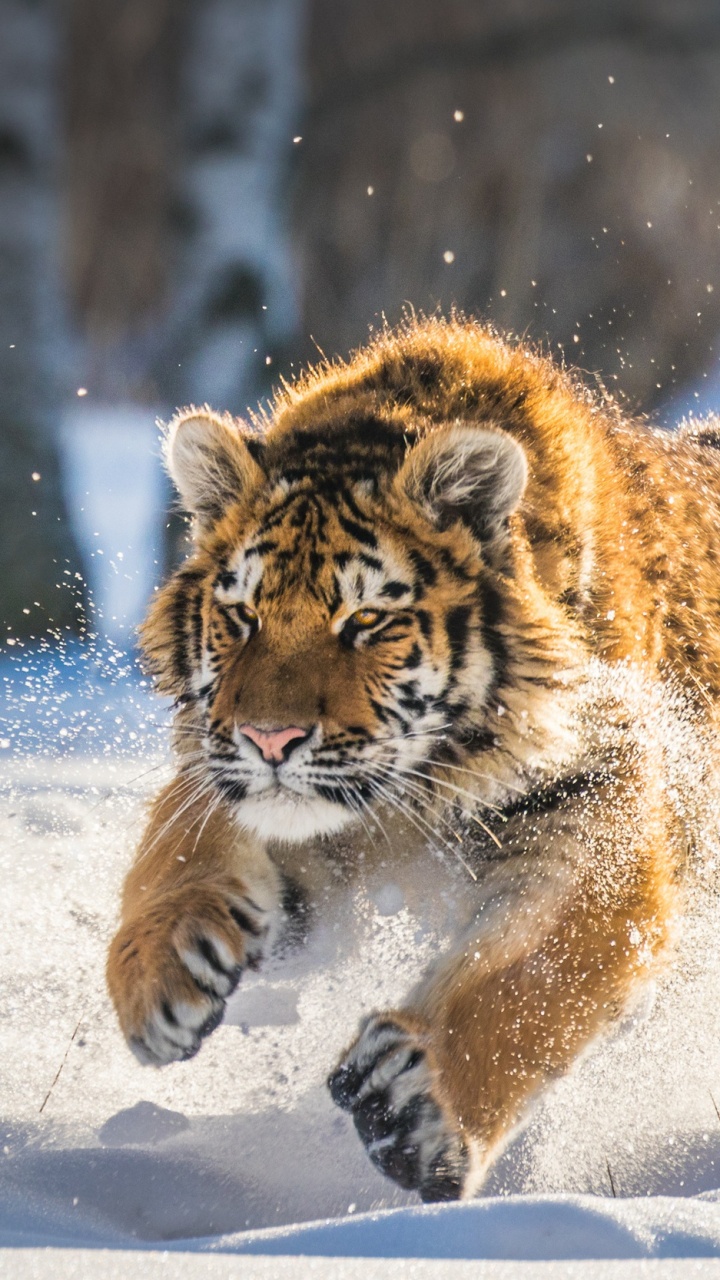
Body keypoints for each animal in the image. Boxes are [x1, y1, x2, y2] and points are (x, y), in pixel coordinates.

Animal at [106, 315, 720, 1202]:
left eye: (366, 621)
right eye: (242, 615)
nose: (269, 739)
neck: (409, 797)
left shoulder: (600, 822)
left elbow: (530, 980)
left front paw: (416, 1103)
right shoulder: (253, 790)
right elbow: (179, 844)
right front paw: (157, 974)